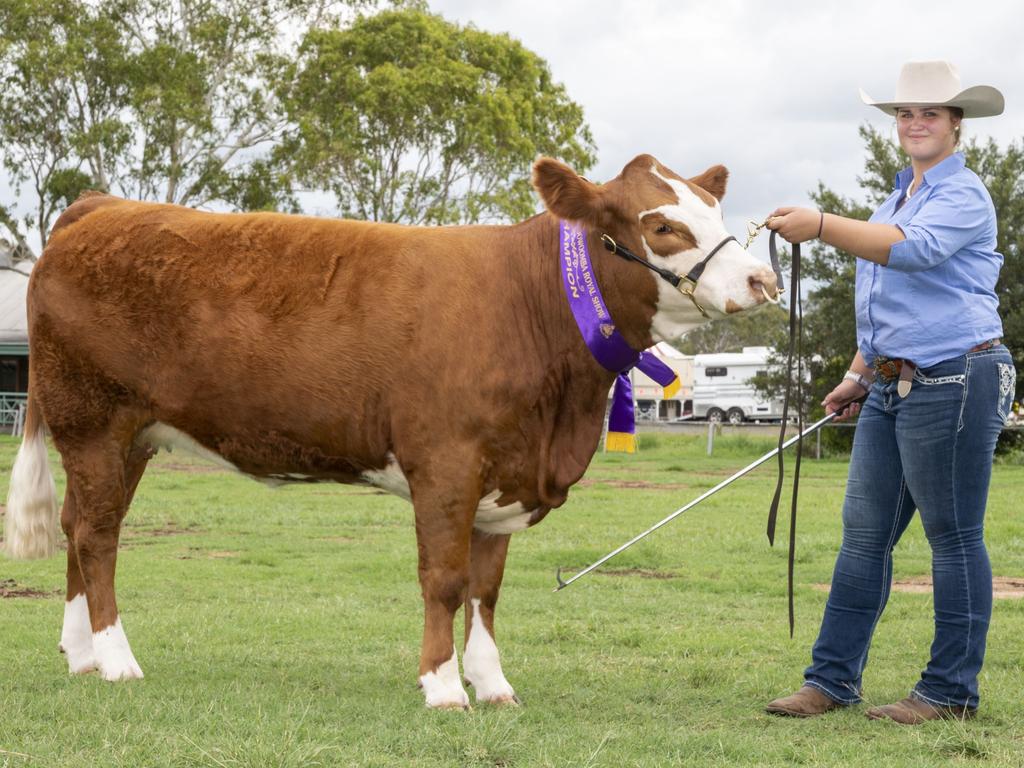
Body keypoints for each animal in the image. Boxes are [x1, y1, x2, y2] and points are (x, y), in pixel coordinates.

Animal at [4, 154, 778, 708]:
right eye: (664, 226)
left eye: (717, 210)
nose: (762, 280)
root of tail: (99, 208)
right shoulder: (447, 462)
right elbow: (444, 579)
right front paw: (442, 687)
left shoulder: (505, 473)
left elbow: (486, 589)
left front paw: (492, 684)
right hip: (95, 421)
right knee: (97, 535)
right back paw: (117, 660)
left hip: (126, 437)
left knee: (80, 527)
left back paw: (81, 654)